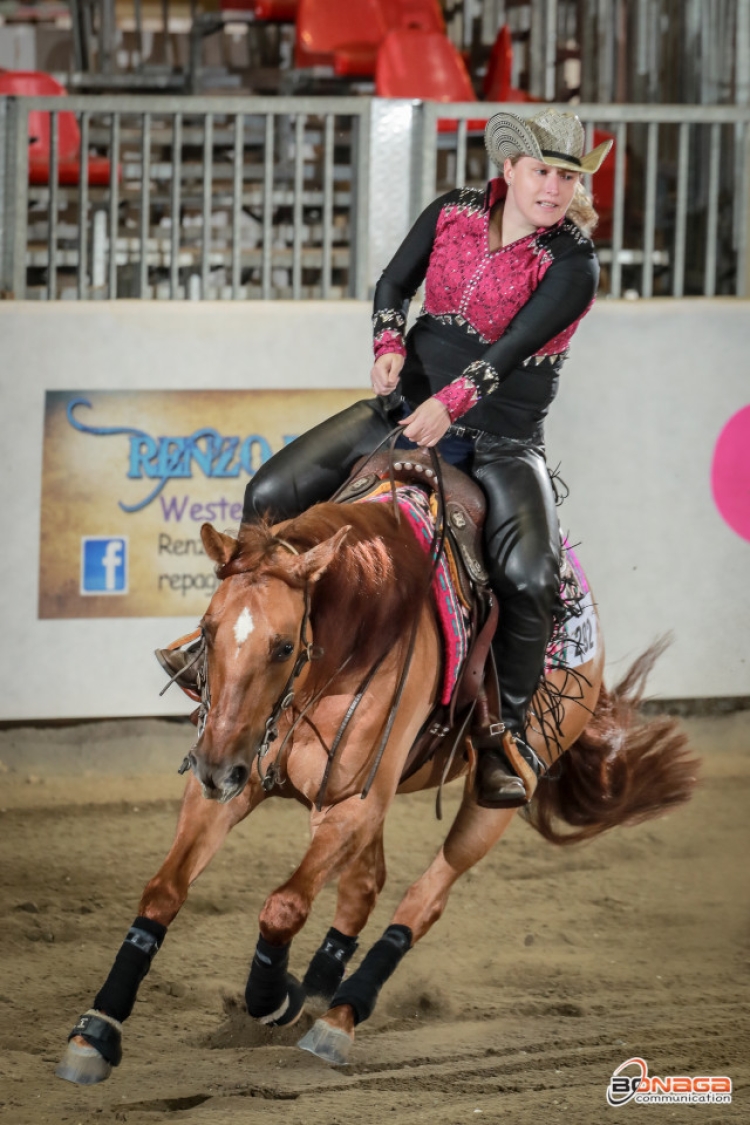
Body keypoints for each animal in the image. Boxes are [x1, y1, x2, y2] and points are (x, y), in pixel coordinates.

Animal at [55, 499, 697, 1080]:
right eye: (209, 633)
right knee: (363, 888)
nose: (214, 767)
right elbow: (163, 890)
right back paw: (320, 988)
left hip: (490, 804)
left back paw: (338, 1017)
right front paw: (96, 1032)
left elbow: (283, 905)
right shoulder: (239, 786)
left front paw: (274, 997)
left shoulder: (352, 802)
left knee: (423, 898)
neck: (348, 640)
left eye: (283, 646)